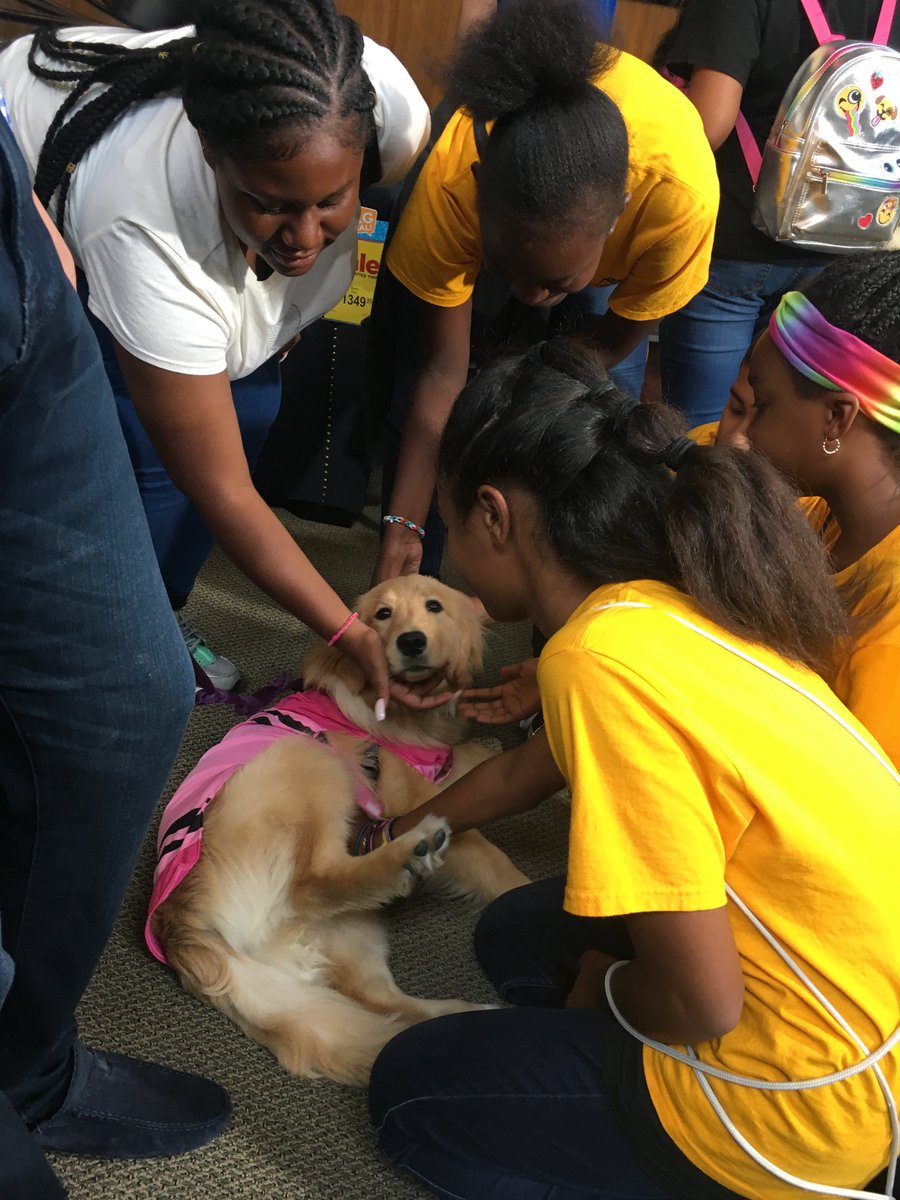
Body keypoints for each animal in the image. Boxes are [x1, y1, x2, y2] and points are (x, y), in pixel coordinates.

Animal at [148, 575, 529, 1086]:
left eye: (435, 607)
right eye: (382, 615)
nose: (412, 642)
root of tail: (180, 928)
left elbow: (471, 757)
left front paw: (490, 742)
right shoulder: (418, 795)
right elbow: (493, 860)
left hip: (350, 933)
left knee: (387, 1004)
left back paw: (471, 1016)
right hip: (310, 757)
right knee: (312, 883)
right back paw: (409, 852)